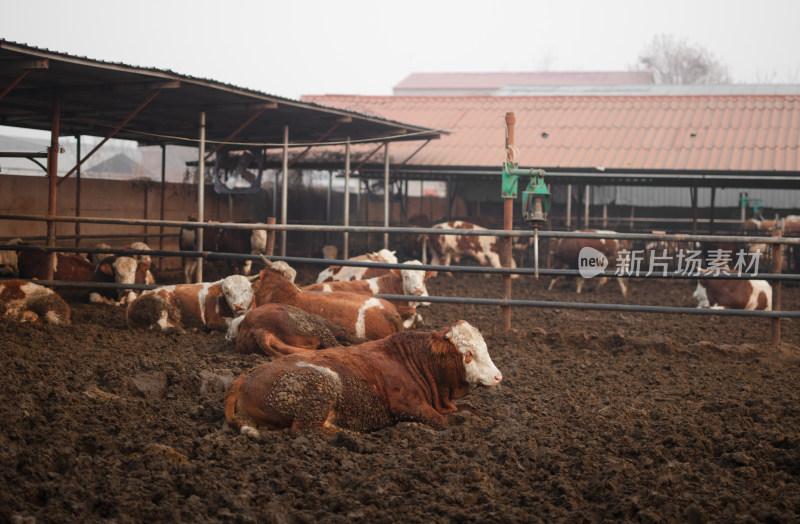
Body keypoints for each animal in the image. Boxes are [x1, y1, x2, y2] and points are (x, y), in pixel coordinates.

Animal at [126, 274, 255, 332]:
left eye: (246, 290)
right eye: (227, 292)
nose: (238, 306)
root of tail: (130, 306)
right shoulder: (214, 321)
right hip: (160, 305)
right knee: (160, 326)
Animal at [222, 320, 504, 438]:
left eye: (485, 347)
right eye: (467, 353)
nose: (498, 376)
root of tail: (242, 378)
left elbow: (473, 412)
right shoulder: (407, 407)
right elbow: (441, 422)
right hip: (322, 384)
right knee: (304, 430)